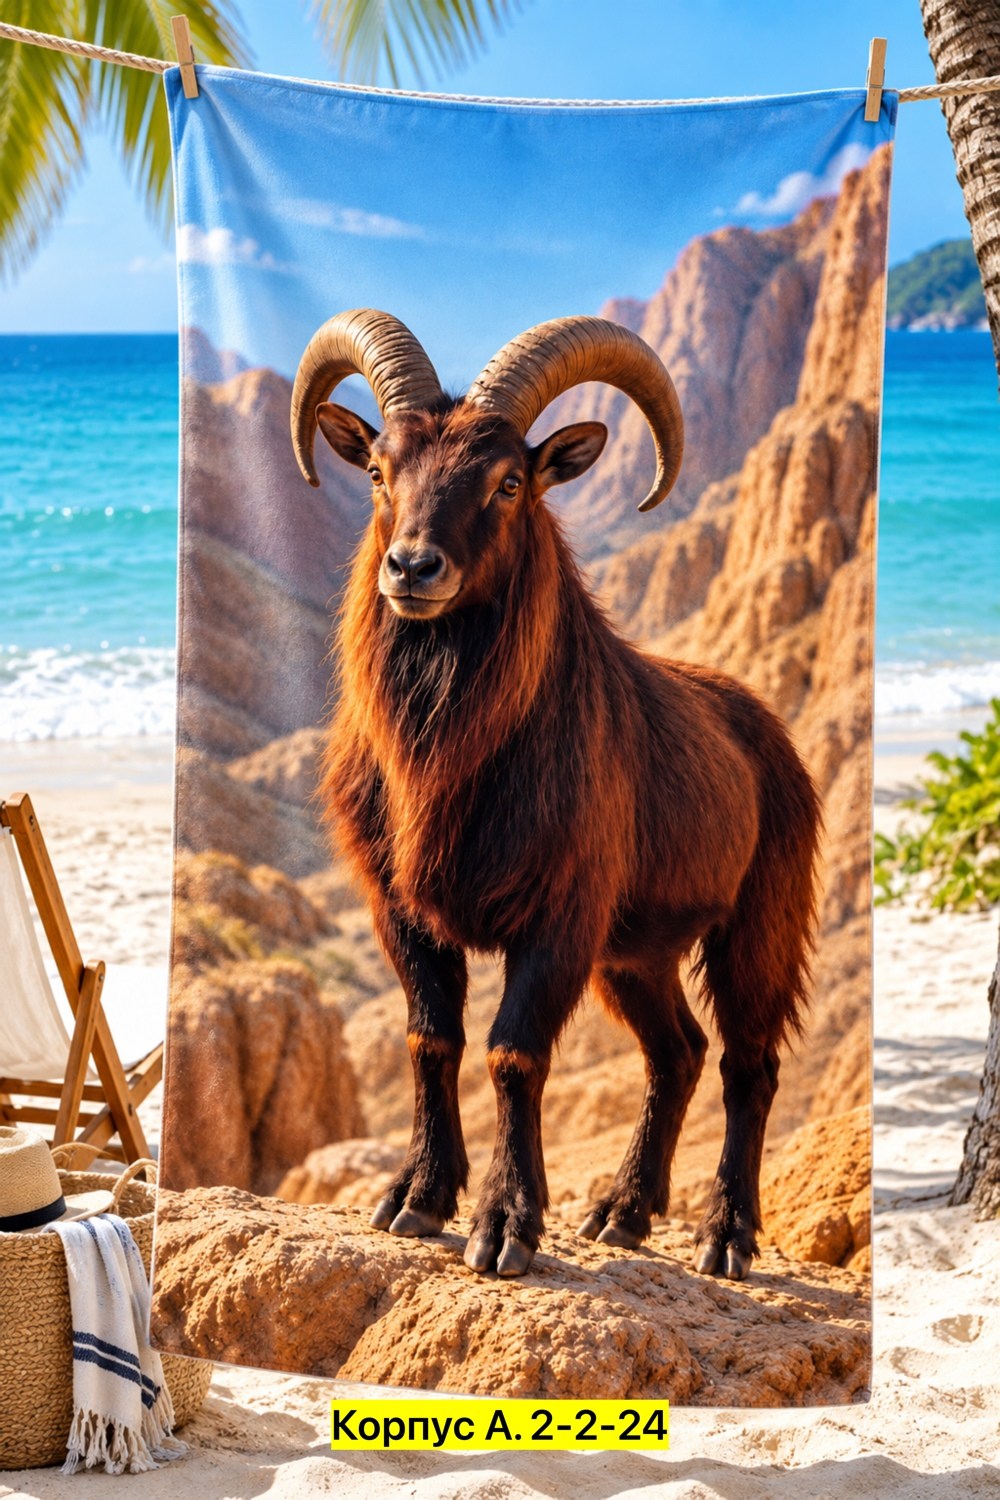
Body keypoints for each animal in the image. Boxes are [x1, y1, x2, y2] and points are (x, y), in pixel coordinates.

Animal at [291, 308, 820, 1279]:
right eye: (380, 469)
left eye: (508, 481)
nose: (412, 567)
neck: (451, 761)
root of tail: (769, 735)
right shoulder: (403, 911)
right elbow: (432, 1038)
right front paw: (416, 1197)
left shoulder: (560, 917)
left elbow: (513, 1053)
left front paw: (506, 1225)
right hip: (635, 953)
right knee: (677, 1053)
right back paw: (622, 1212)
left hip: (756, 925)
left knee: (747, 1064)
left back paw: (724, 1237)